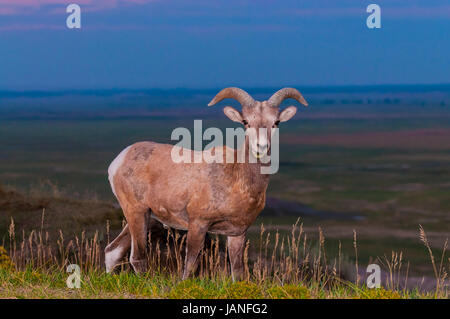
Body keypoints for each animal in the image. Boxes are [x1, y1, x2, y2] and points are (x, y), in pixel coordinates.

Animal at [106, 87, 310, 280]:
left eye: (276, 122)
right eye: (246, 122)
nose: (261, 147)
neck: (236, 178)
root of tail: (119, 161)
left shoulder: (237, 233)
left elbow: (237, 272)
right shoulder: (198, 225)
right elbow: (190, 266)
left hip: (146, 218)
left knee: (112, 251)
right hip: (137, 213)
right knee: (137, 257)